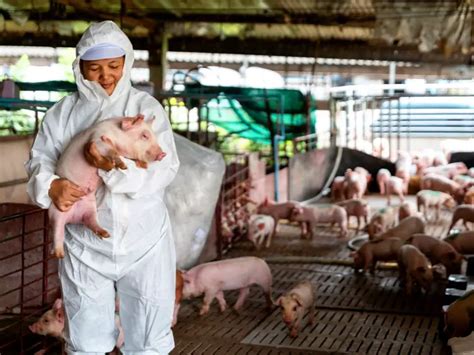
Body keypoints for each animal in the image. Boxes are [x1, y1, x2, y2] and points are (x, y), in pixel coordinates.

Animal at [49, 115, 166, 260]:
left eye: (154, 135)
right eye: (144, 135)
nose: (163, 154)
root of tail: (73, 218)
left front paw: (141, 165)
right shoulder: (98, 139)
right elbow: (112, 151)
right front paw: (122, 165)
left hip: (90, 209)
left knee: (91, 223)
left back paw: (105, 234)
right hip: (55, 212)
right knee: (57, 233)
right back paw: (59, 254)